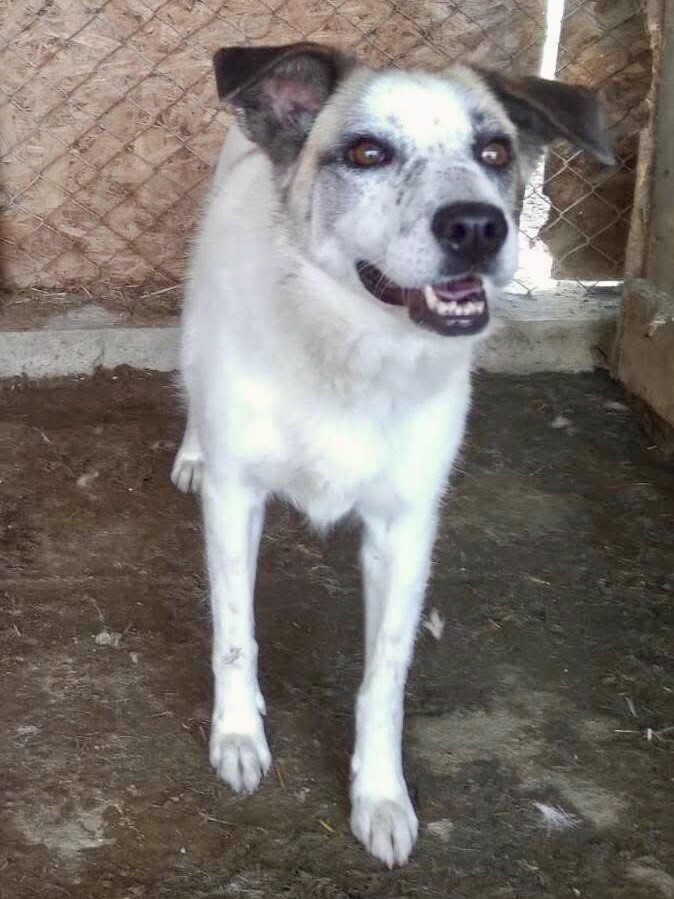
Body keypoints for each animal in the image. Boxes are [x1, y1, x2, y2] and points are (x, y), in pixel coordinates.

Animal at [171, 42, 613, 867]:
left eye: (495, 150)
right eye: (367, 153)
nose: (477, 227)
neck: (350, 349)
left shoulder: (406, 530)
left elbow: (385, 677)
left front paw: (380, 796)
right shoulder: (235, 503)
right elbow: (236, 637)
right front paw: (239, 734)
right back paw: (191, 450)